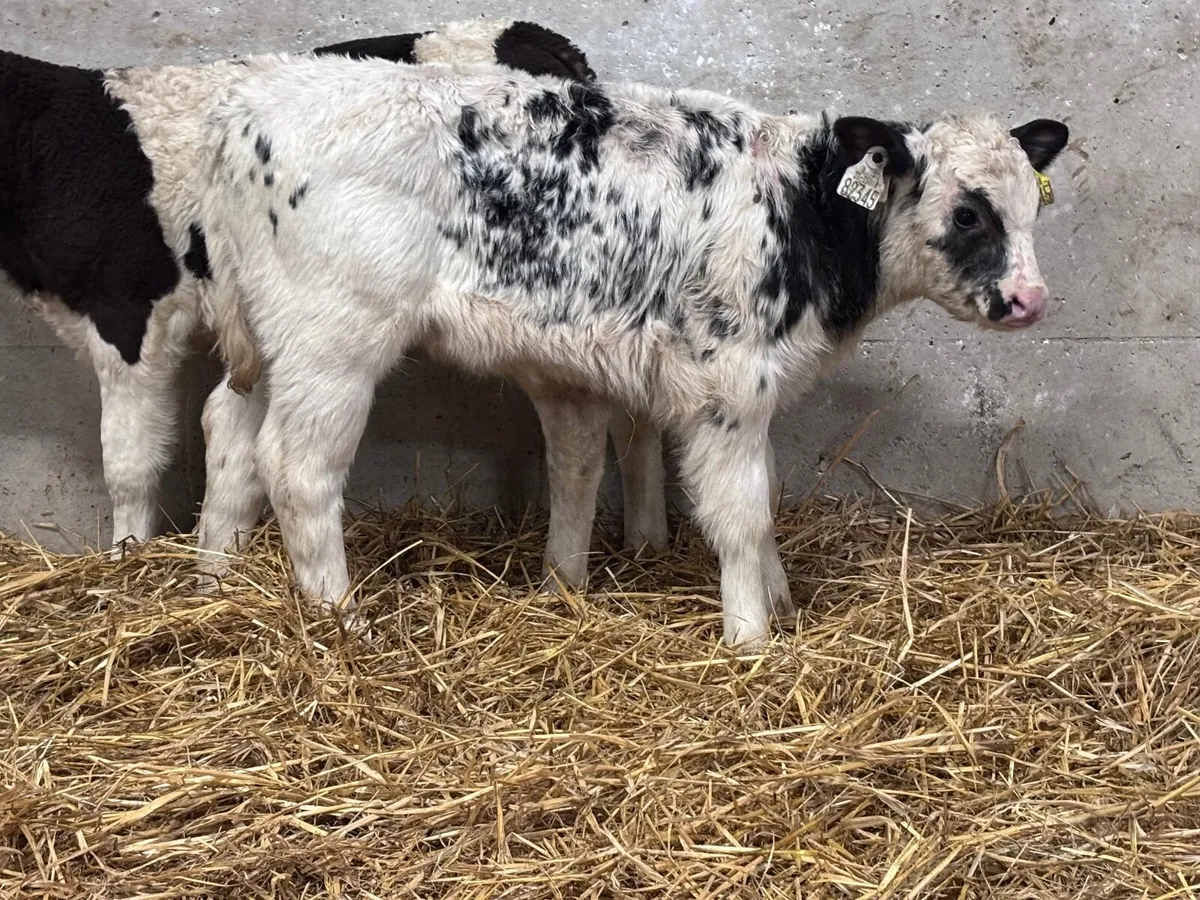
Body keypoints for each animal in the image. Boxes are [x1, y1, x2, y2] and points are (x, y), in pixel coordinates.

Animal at [173, 54, 1067, 648]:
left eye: (1032, 205)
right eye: (969, 212)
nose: (1031, 299)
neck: (805, 210)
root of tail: (243, 111)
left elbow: (753, 499)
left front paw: (778, 604)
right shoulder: (728, 387)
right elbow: (743, 513)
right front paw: (753, 638)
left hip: (269, 343)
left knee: (230, 434)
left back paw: (215, 584)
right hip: (334, 344)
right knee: (298, 469)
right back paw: (343, 624)